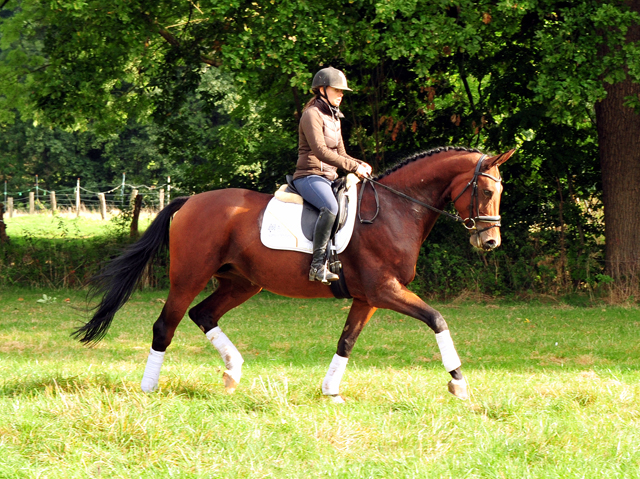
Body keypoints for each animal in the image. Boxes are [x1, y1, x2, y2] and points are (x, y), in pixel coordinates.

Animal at [74, 145, 516, 402]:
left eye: (499, 191)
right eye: (486, 191)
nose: (490, 242)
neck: (395, 210)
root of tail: (189, 201)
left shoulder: (367, 298)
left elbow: (347, 341)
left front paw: (331, 391)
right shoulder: (385, 291)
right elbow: (437, 319)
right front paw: (458, 382)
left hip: (242, 283)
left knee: (204, 314)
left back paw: (232, 373)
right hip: (189, 277)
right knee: (166, 324)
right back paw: (149, 388)